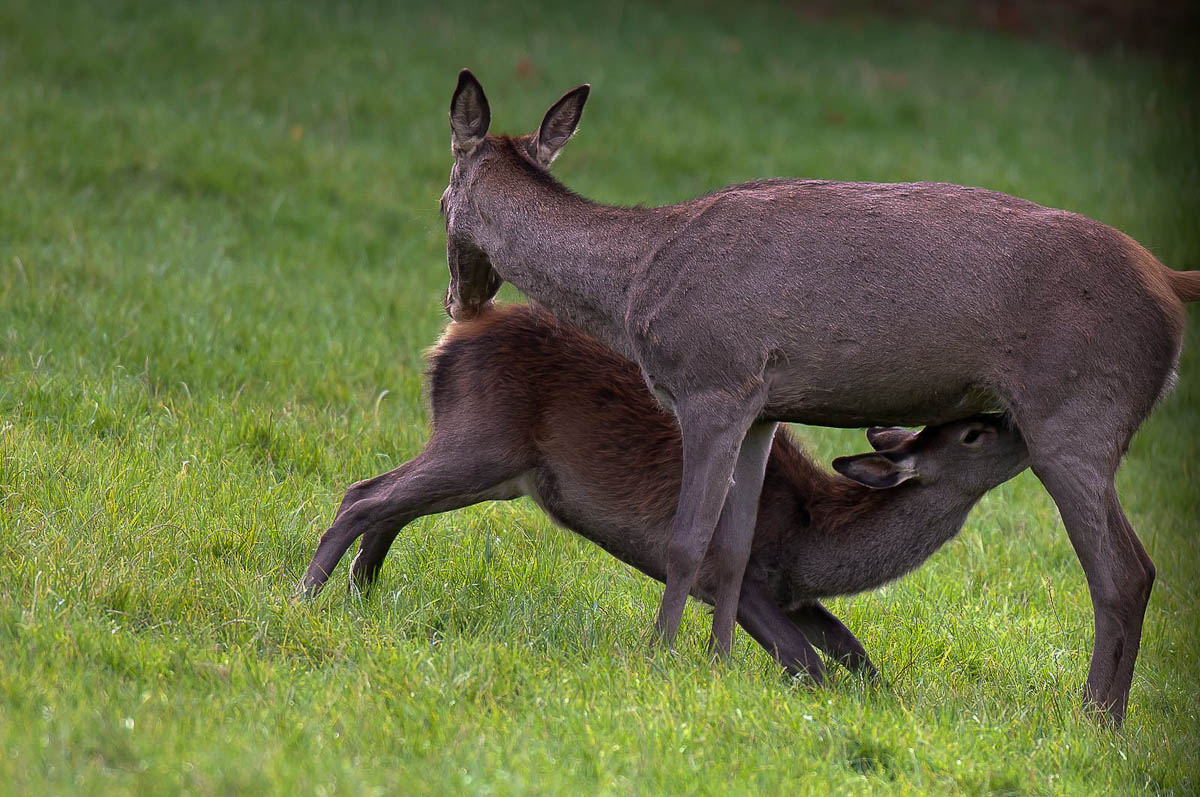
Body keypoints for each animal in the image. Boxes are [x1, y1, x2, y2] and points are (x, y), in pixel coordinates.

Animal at [297, 302, 1032, 681]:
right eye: (973, 432)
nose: (1019, 422)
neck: (813, 537)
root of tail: (455, 333)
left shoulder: (794, 593)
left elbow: (855, 651)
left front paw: (885, 700)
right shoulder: (738, 578)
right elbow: (806, 662)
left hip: (496, 468)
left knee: (390, 504)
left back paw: (362, 590)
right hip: (482, 440)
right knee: (364, 494)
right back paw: (305, 597)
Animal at [444, 73, 1200, 720]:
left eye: (443, 195)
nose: (459, 301)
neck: (635, 286)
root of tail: (1170, 279)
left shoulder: (713, 380)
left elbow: (689, 539)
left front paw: (657, 660)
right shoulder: (762, 409)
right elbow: (733, 548)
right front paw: (718, 667)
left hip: (1075, 416)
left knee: (1125, 573)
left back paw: (1097, 718)